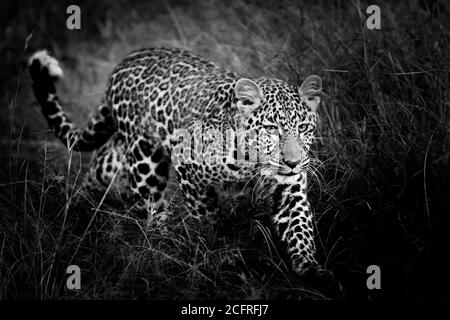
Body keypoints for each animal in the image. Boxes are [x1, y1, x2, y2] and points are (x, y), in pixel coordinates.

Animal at [27, 47, 324, 276]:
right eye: (271, 129)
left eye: (303, 127)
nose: (293, 161)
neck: (251, 162)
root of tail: (126, 60)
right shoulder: (187, 164)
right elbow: (207, 217)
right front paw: (219, 250)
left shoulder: (289, 186)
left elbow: (299, 224)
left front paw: (309, 266)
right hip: (145, 159)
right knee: (150, 206)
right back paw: (161, 243)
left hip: (119, 154)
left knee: (100, 165)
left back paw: (79, 204)